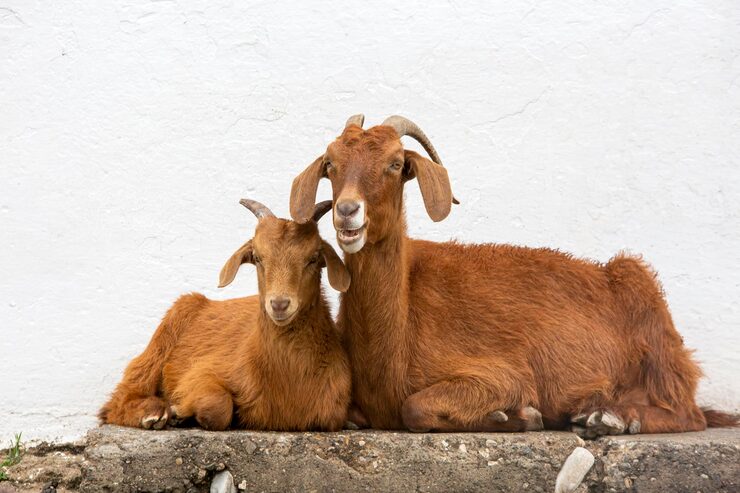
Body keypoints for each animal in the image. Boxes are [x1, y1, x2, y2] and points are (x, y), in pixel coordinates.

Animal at [99, 199, 351, 431]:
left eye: (313, 258)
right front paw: (179, 411)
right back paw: (152, 413)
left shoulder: (332, 410)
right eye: (257, 257)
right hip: (161, 341)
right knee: (119, 398)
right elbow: (218, 406)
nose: (279, 304)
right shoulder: (202, 372)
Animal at [290, 114, 738, 437]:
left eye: (396, 164)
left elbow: (414, 407)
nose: (347, 211)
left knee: (688, 412)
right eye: (330, 164)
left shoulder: (503, 374)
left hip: (649, 316)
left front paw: (516, 417)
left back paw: (612, 417)